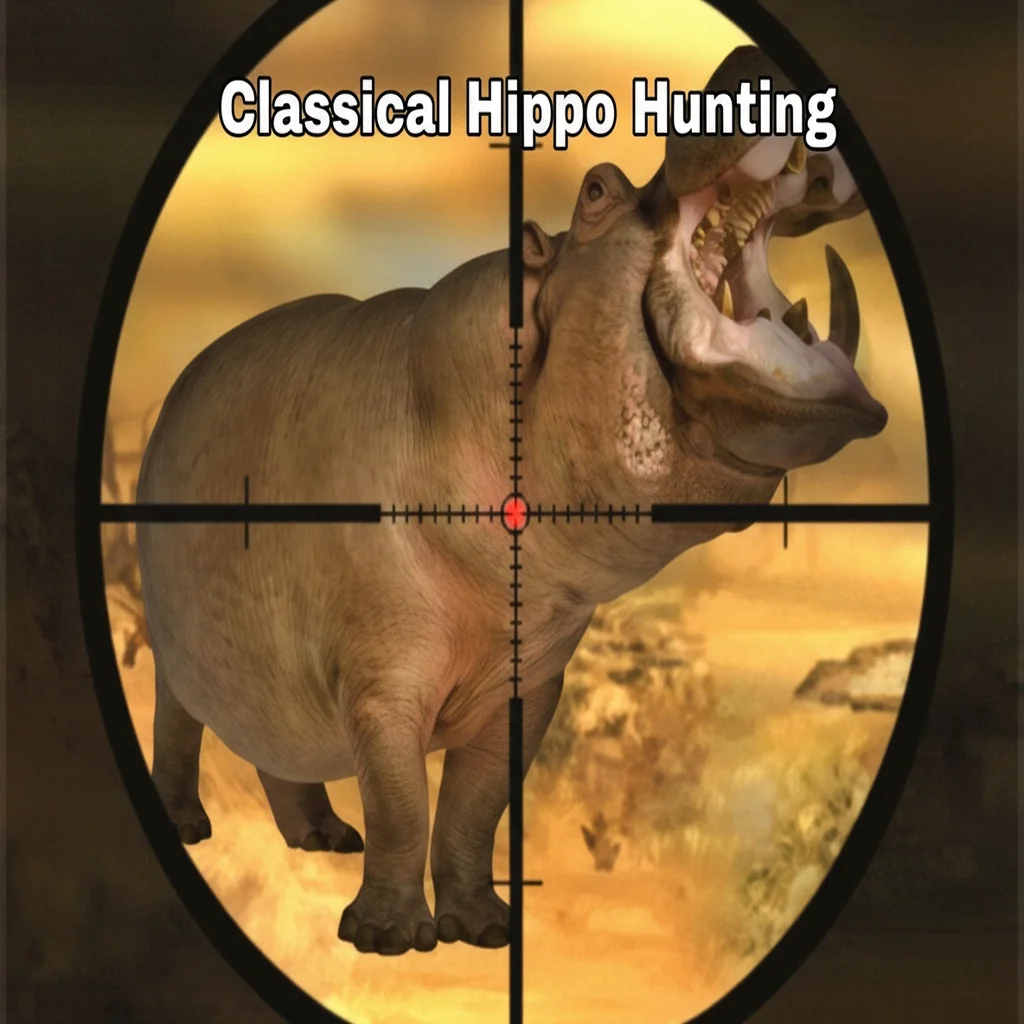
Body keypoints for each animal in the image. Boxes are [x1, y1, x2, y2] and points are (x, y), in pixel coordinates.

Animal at [135, 46, 886, 957]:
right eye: (596, 188)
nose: (748, 55)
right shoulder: (384, 683)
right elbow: (402, 806)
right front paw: (389, 940)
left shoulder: (528, 687)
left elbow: (473, 807)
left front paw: (484, 930)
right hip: (176, 648)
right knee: (178, 723)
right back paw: (189, 828)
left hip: (266, 669)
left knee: (278, 742)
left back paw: (322, 839)